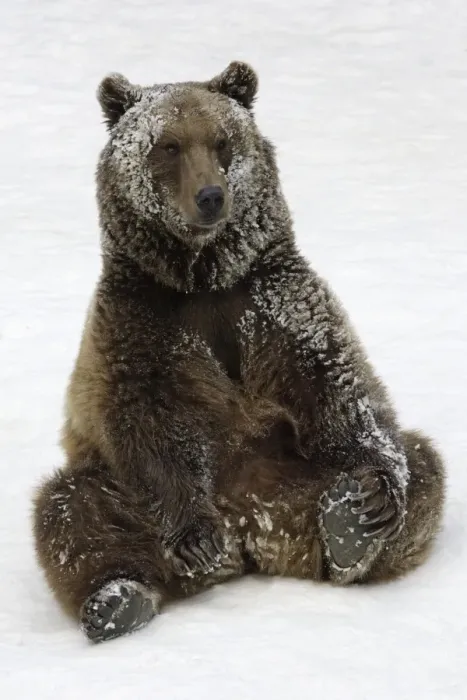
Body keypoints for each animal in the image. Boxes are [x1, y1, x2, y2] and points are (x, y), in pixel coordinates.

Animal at [33, 61, 446, 643]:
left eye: (222, 140)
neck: (203, 275)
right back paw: (117, 600)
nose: (210, 195)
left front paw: (375, 496)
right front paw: (193, 536)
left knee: (425, 464)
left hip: (292, 482)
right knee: (72, 508)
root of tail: (250, 533)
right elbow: (146, 416)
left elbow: (337, 384)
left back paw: (349, 525)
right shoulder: (139, 323)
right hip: (123, 492)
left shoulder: (274, 303)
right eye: (168, 145)